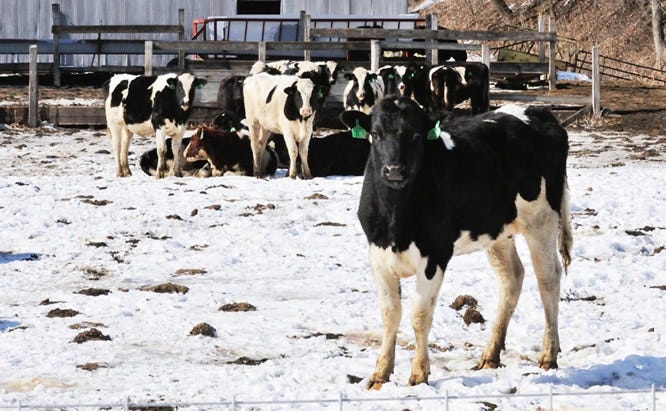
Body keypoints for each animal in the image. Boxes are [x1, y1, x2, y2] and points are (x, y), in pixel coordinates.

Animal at [340, 98, 572, 392]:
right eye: (376, 133)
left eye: (416, 135)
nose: (394, 170)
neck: (396, 218)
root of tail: (537, 111)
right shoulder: (378, 255)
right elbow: (390, 313)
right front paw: (380, 374)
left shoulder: (434, 255)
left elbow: (419, 315)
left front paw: (419, 374)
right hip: (498, 230)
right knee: (512, 278)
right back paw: (490, 355)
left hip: (541, 220)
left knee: (548, 279)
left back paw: (548, 355)